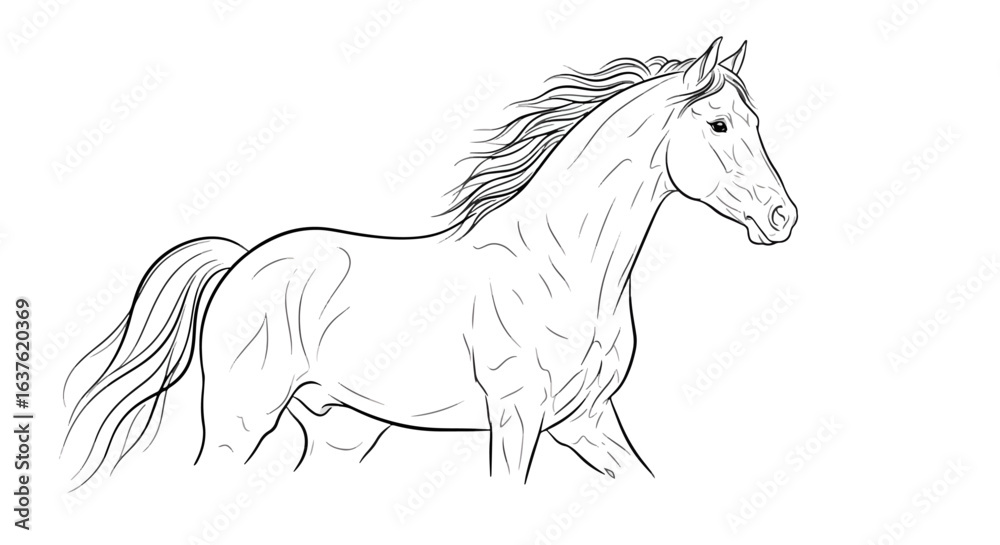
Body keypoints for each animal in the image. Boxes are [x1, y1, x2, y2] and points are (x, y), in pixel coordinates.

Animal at [63, 37, 797, 487]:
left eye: (756, 123)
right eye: (719, 125)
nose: (782, 218)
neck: (565, 269)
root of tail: (242, 261)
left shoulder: (588, 421)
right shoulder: (515, 418)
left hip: (338, 431)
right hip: (241, 419)